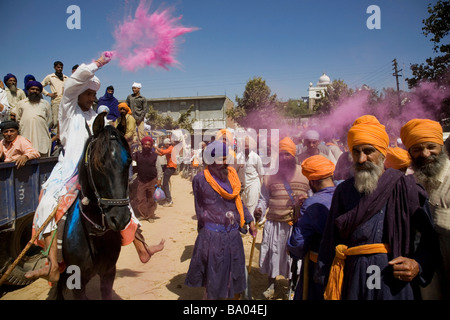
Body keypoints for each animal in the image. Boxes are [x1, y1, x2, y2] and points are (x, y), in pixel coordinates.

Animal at [52, 113, 132, 300]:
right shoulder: (76, 281)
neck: (95, 234)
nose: (120, 218)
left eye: (129, 163)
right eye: (99, 164)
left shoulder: (109, 272)